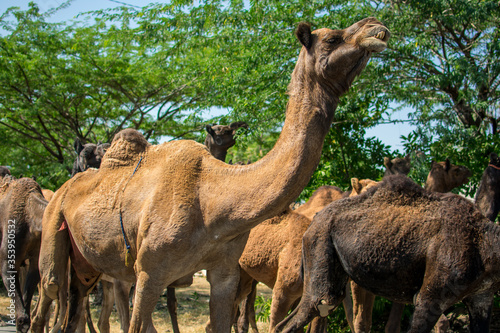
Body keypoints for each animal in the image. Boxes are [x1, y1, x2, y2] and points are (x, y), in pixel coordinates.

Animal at [33, 18, 390, 332]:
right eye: (332, 37)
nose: (377, 27)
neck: (213, 199)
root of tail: (62, 188)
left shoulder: (225, 274)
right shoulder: (149, 273)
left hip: (91, 268)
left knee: (78, 308)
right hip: (55, 232)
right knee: (49, 294)